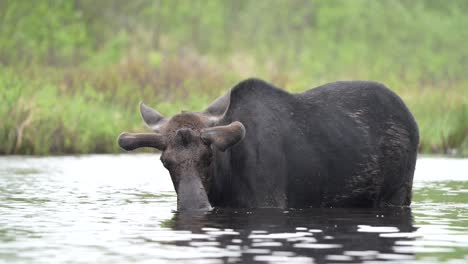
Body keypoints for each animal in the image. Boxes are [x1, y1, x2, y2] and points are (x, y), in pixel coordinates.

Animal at [119, 78, 418, 210]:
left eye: (209, 156)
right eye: (165, 162)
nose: (194, 205)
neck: (225, 182)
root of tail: (413, 121)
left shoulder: (268, 202)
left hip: (397, 193)